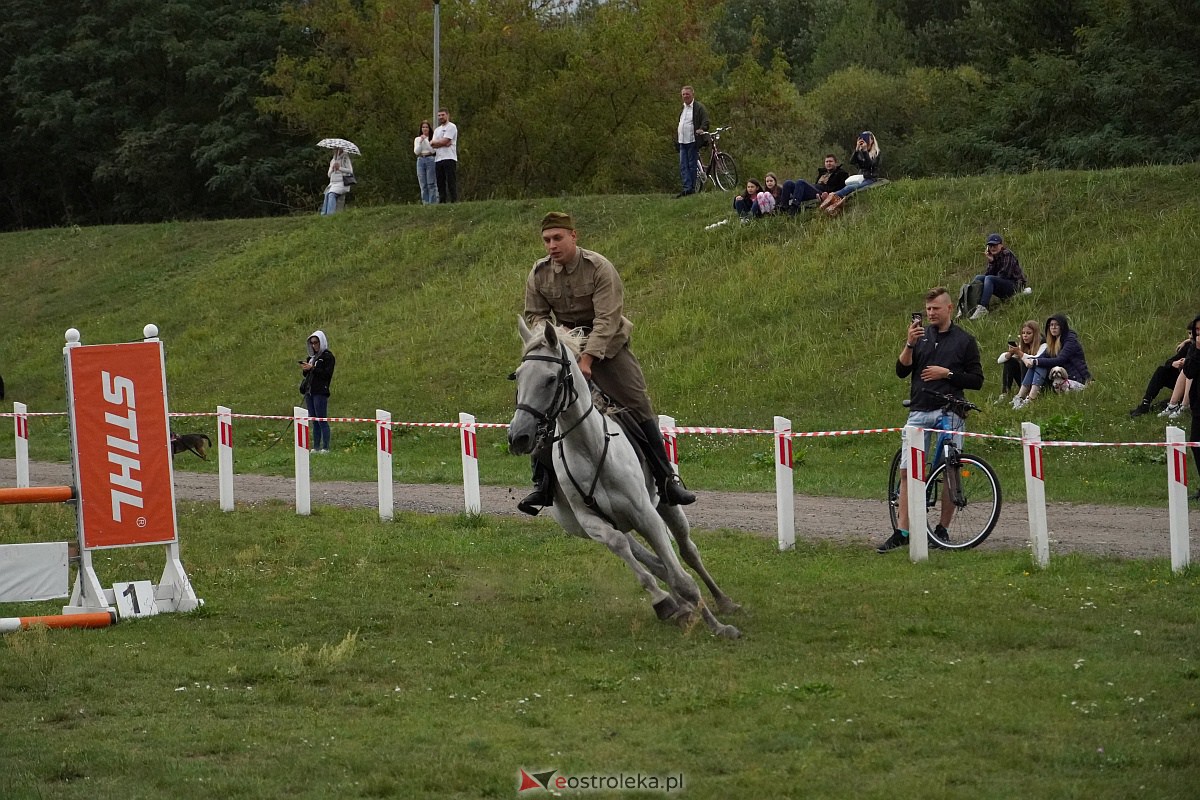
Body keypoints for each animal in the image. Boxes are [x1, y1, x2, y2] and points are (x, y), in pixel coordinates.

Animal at [506, 316, 739, 638]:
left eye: (551, 379)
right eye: (517, 377)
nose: (519, 437)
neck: (590, 448)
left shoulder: (646, 515)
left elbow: (682, 575)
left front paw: (719, 627)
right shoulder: (592, 523)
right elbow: (623, 548)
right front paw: (664, 602)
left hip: (666, 506)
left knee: (687, 551)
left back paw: (723, 601)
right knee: (653, 560)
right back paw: (680, 607)